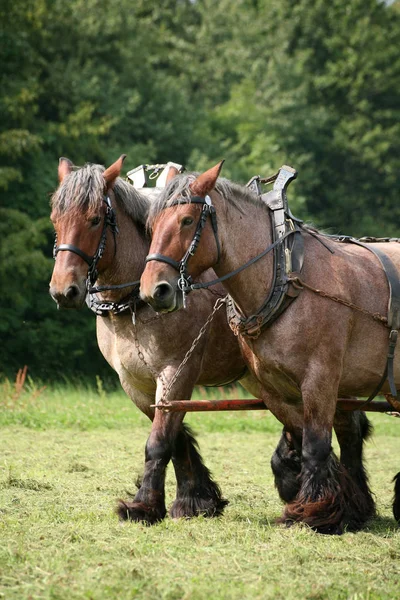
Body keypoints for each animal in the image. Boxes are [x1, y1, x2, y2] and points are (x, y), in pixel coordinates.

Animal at [50, 157, 256, 524]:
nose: (64, 290)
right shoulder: (134, 382)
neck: (136, 302)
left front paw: (144, 505)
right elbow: (173, 437)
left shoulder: (177, 372)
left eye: (94, 219)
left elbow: (159, 440)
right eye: (55, 220)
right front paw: (197, 498)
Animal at [140, 162, 400, 532]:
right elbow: (302, 438)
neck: (284, 278)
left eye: (187, 220)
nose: (154, 290)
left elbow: (315, 445)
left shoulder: (320, 379)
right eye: (151, 224)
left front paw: (313, 511)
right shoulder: (275, 388)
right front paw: (337, 503)